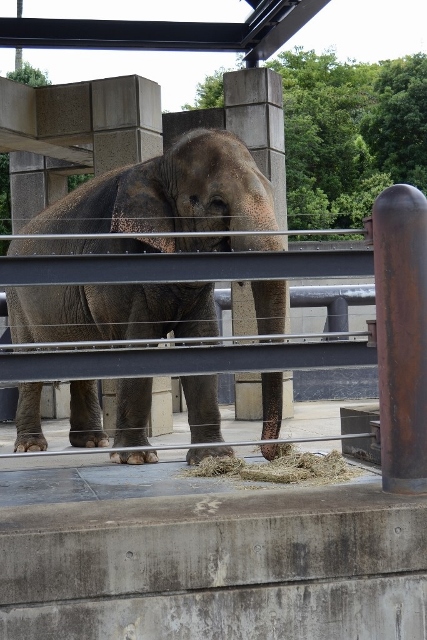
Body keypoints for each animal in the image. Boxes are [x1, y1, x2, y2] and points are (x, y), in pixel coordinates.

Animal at [5, 129, 288, 464]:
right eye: (217, 202)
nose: (273, 453)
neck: (159, 164)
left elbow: (202, 341)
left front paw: (214, 458)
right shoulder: (119, 266)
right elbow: (138, 344)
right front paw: (134, 459)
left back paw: (91, 442)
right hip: (18, 303)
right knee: (31, 361)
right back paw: (31, 447)